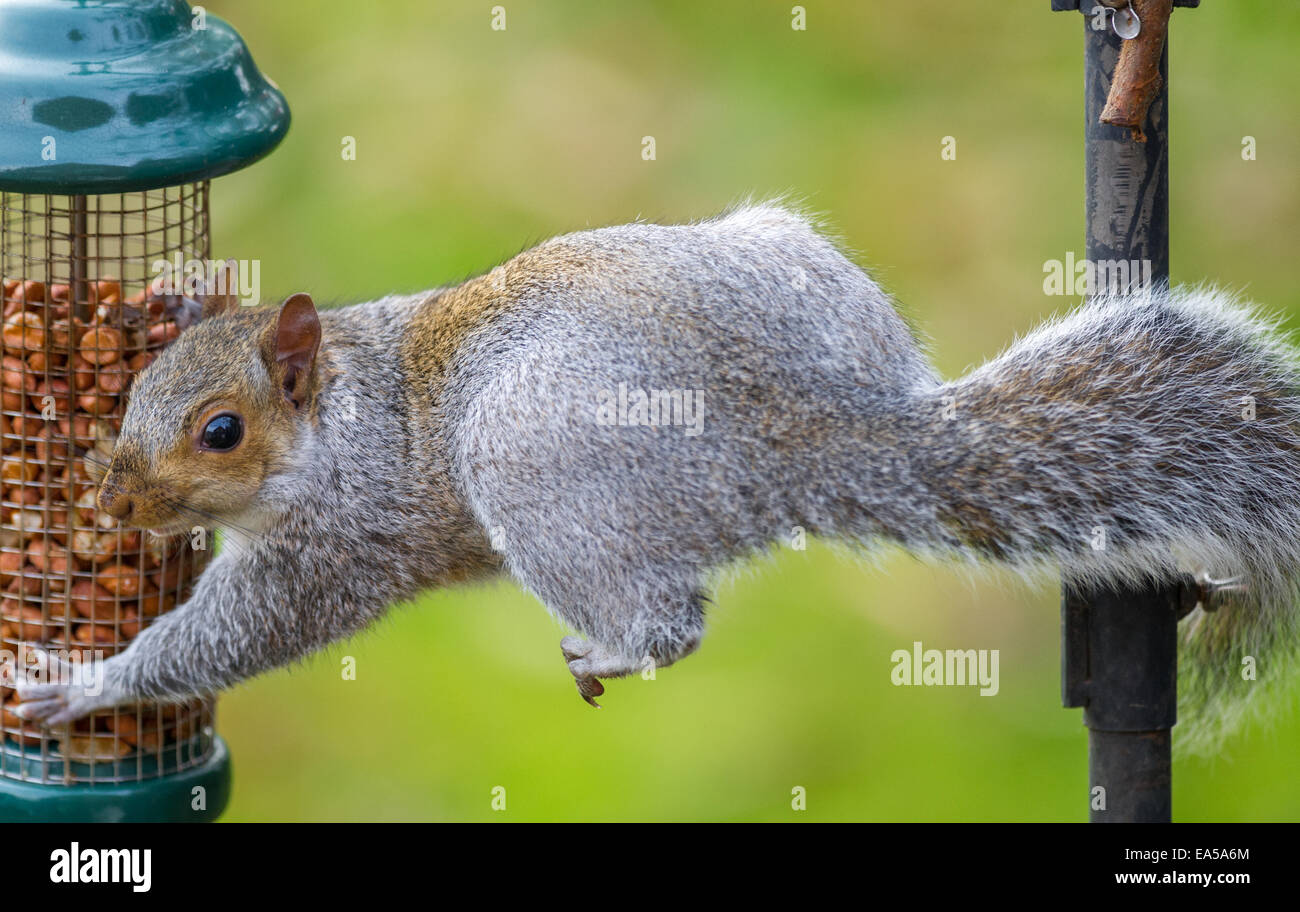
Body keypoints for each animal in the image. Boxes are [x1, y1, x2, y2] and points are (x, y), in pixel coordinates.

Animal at [2, 203, 1300, 753]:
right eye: (131, 391)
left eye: (219, 431)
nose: (112, 502)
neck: (343, 413)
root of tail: (817, 427)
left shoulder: (339, 542)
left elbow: (243, 627)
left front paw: (83, 683)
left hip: (540, 466)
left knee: (673, 623)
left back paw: (613, 648)